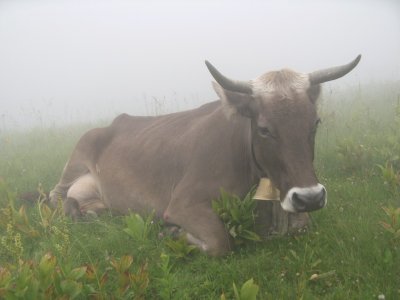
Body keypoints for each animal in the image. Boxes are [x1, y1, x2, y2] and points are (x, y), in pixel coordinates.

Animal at [49, 55, 360, 254]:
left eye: (315, 123)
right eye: (263, 129)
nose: (310, 197)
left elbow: (302, 225)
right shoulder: (182, 203)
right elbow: (220, 241)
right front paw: (172, 231)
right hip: (75, 159)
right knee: (55, 197)